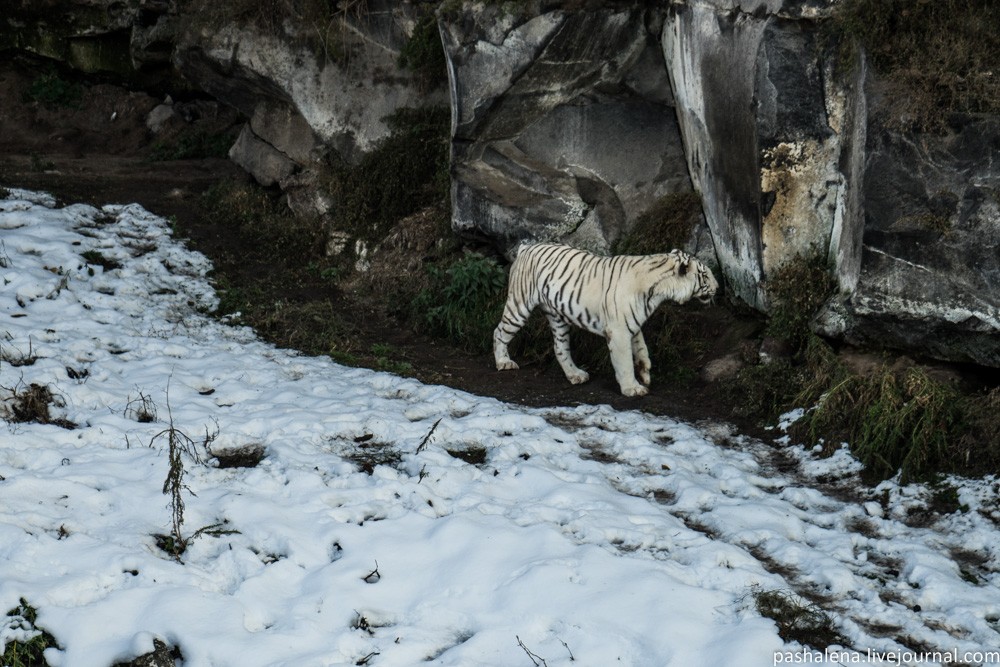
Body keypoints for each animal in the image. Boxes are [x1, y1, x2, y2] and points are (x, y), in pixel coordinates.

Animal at [494, 244, 720, 396]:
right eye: (704, 275)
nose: (718, 287)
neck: (658, 291)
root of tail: (526, 247)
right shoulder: (619, 331)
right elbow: (625, 361)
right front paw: (632, 388)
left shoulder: (633, 325)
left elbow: (642, 350)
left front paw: (645, 373)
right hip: (519, 305)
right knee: (499, 332)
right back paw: (504, 362)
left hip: (557, 317)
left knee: (560, 347)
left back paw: (575, 375)